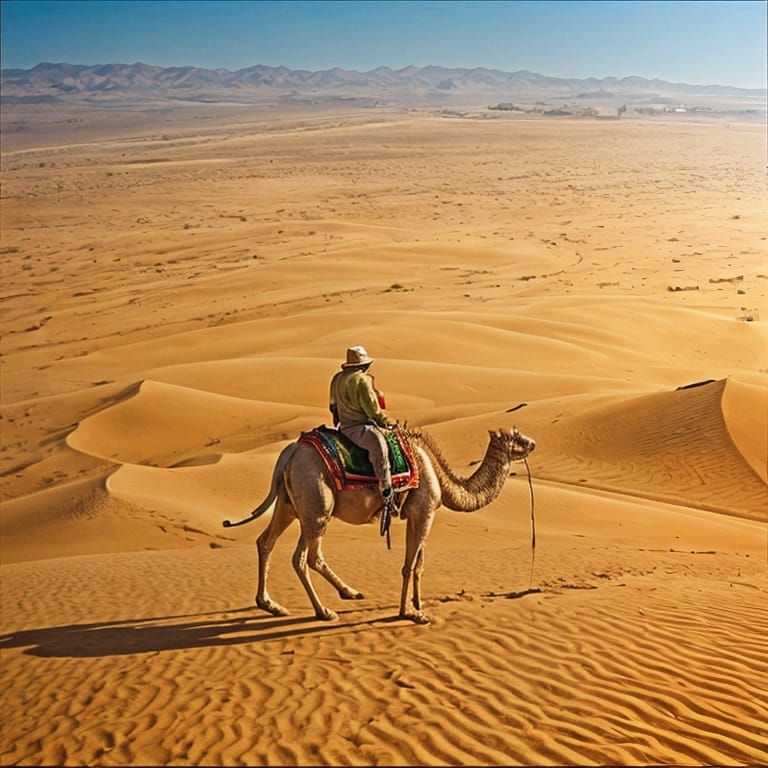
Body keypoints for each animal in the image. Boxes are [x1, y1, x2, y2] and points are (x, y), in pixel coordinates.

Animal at [223, 426, 536, 624]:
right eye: (516, 437)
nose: (533, 442)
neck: (438, 475)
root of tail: (289, 454)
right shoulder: (424, 510)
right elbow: (409, 565)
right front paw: (410, 613)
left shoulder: (419, 513)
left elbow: (419, 564)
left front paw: (418, 604)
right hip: (317, 505)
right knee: (304, 557)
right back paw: (324, 611)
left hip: (289, 504)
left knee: (267, 542)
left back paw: (275, 605)